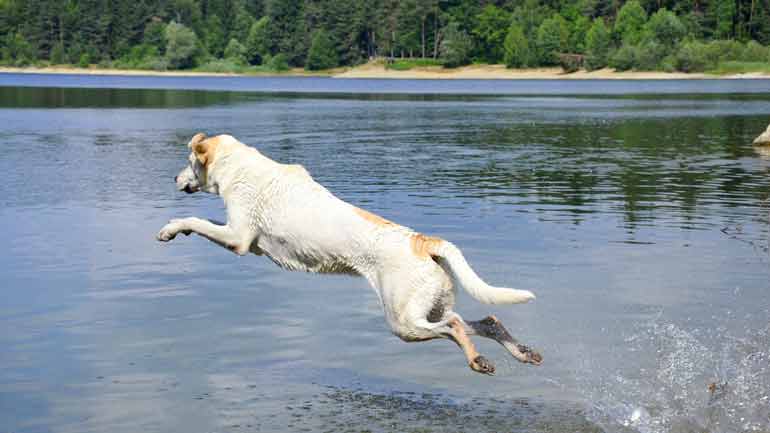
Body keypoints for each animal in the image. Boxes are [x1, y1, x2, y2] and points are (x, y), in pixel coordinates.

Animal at [156, 133, 540, 372]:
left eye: (188, 161)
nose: (174, 179)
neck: (238, 166)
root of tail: (424, 240)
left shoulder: (238, 239)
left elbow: (196, 219)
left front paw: (171, 228)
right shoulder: (239, 237)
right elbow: (202, 221)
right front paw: (179, 229)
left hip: (403, 322)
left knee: (456, 326)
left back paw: (478, 361)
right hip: (429, 308)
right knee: (486, 321)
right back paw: (523, 353)